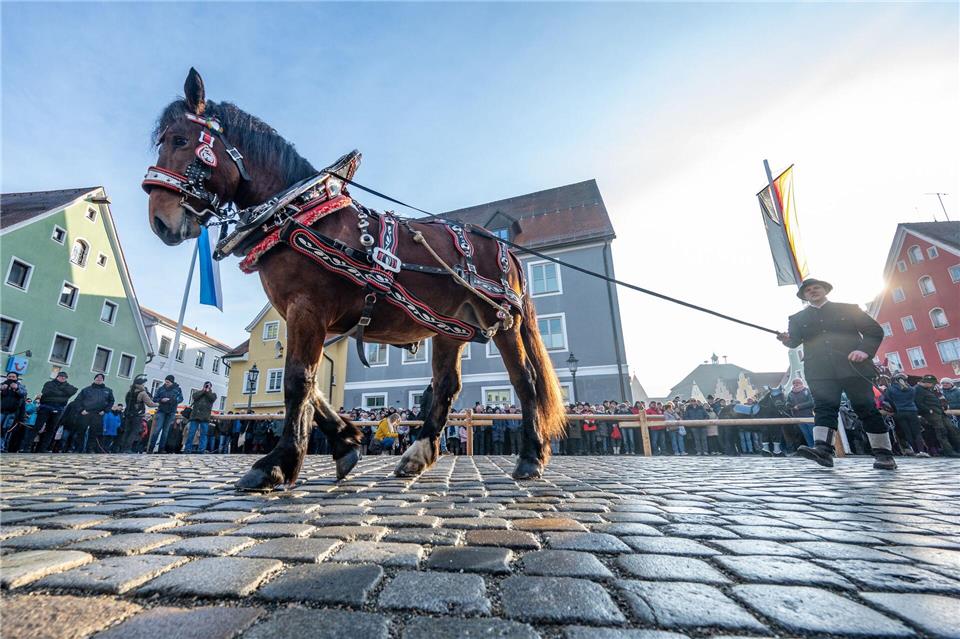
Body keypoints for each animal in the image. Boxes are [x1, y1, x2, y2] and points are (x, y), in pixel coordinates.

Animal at [144, 68, 566, 490]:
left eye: (181, 140)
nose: (160, 221)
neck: (301, 214)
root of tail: (501, 245)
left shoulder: (307, 308)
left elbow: (298, 380)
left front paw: (277, 462)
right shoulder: (302, 317)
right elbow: (314, 385)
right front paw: (346, 441)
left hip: (502, 323)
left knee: (525, 381)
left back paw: (530, 457)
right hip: (449, 329)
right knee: (447, 386)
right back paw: (418, 454)